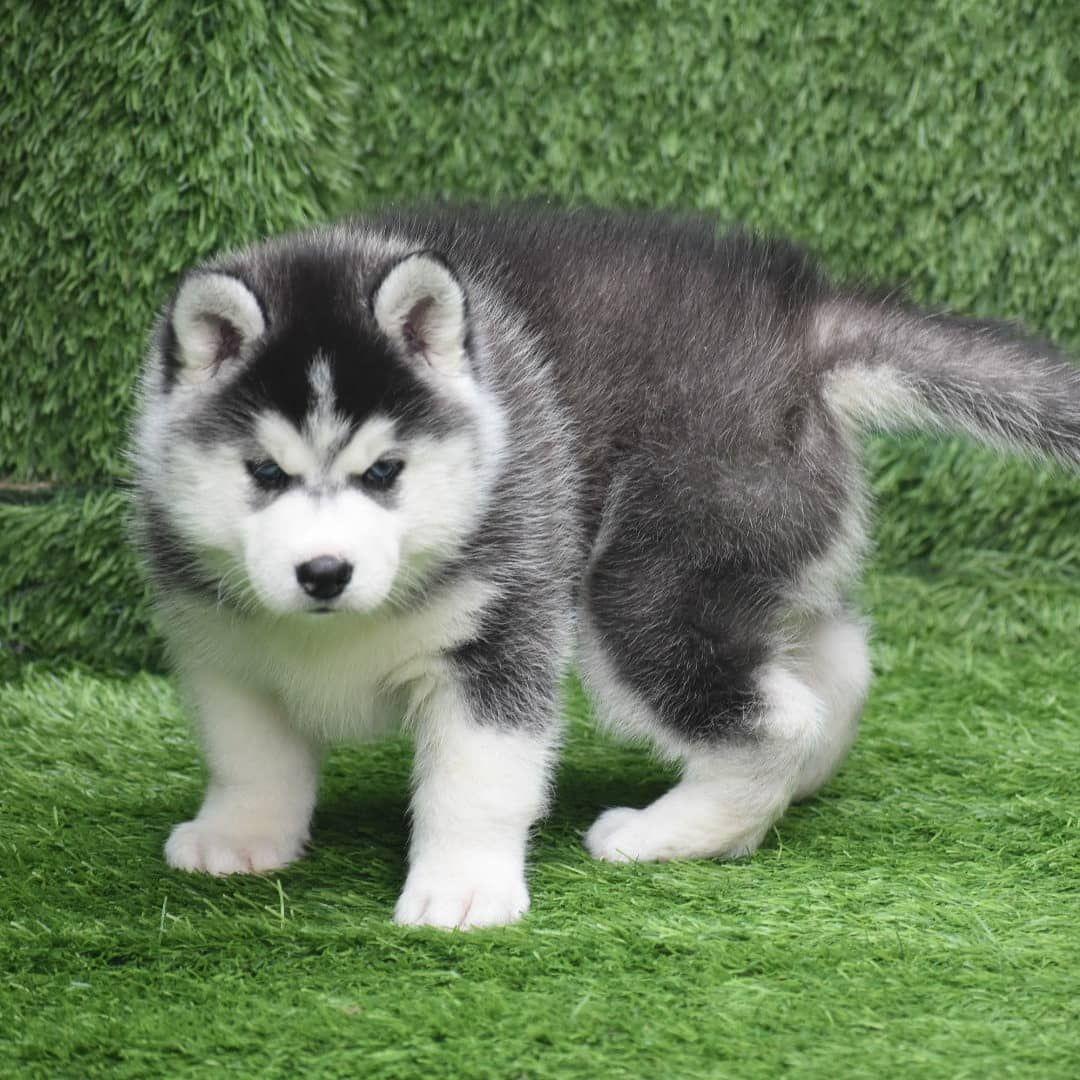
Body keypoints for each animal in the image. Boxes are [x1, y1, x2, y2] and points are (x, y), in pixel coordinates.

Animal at [128, 208, 1080, 928]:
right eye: (264, 473)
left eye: (384, 471)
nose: (324, 571)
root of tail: (802, 319)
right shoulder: (221, 643)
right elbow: (252, 756)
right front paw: (242, 835)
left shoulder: (502, 636)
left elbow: (477, 781)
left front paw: (462, 889)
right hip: (753, 550)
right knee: (830, 663)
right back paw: (795, 784)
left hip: (651, 576)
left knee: (776, 716)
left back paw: (677, 832)